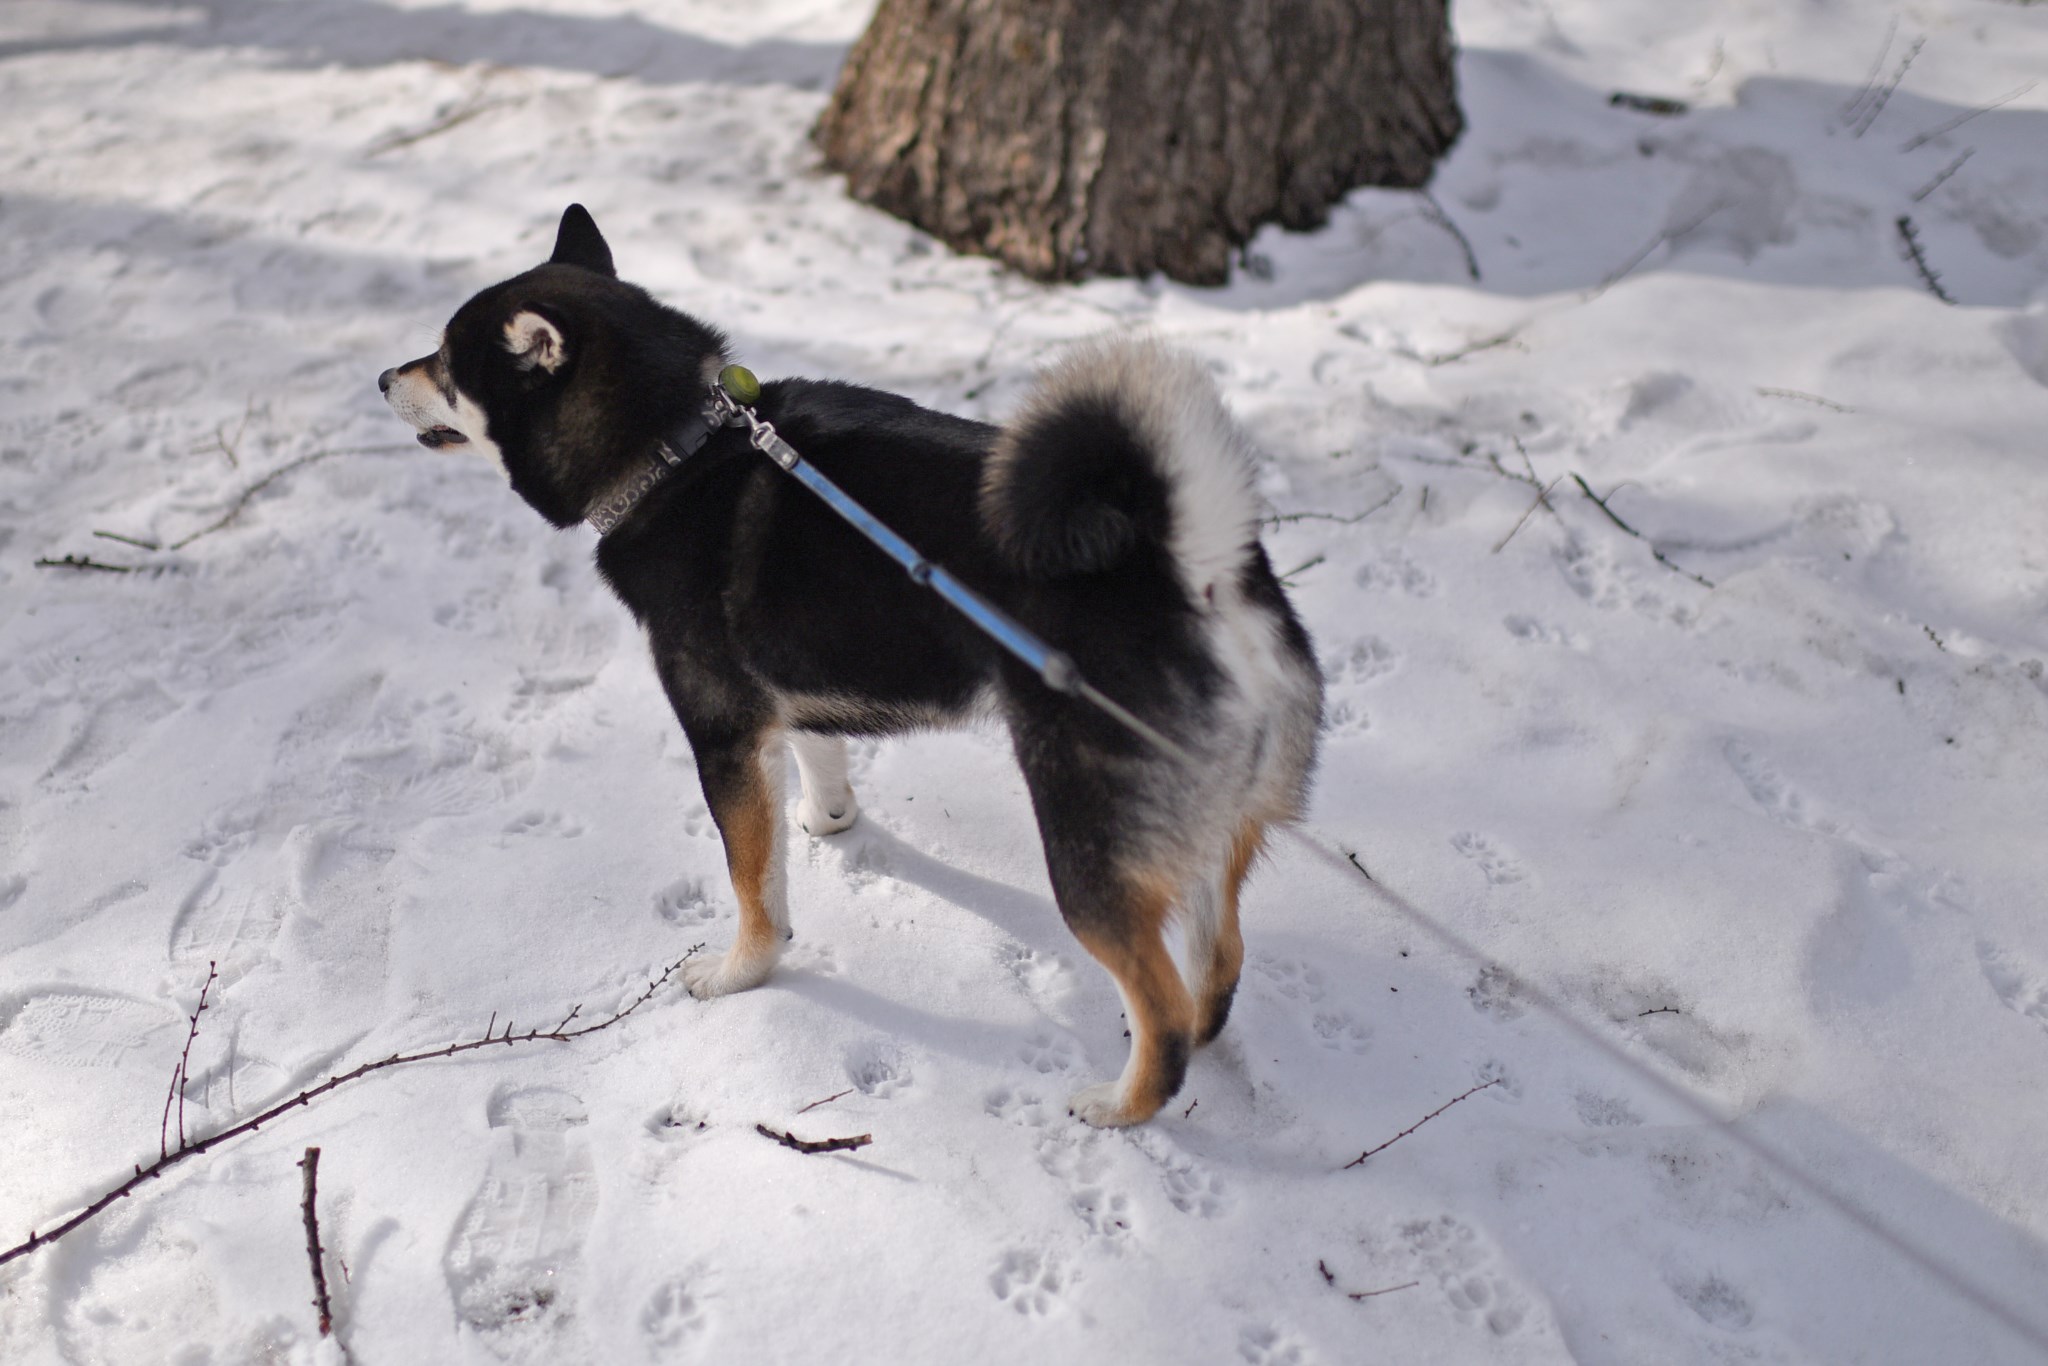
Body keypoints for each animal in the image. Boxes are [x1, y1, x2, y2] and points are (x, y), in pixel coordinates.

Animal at [376, 200, 1318, 1122]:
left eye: (447, 365)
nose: (384, 378)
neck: (677, 451)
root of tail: (1197, 571)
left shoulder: (723, 736)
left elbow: (753, 887)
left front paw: (740, 973)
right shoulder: (785, 695)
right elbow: (817, 762)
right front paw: (827, 820)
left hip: (1087, 845)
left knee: (1160, 1009)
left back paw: (1120, 1104)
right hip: (1205, 828)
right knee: (1218, 963)